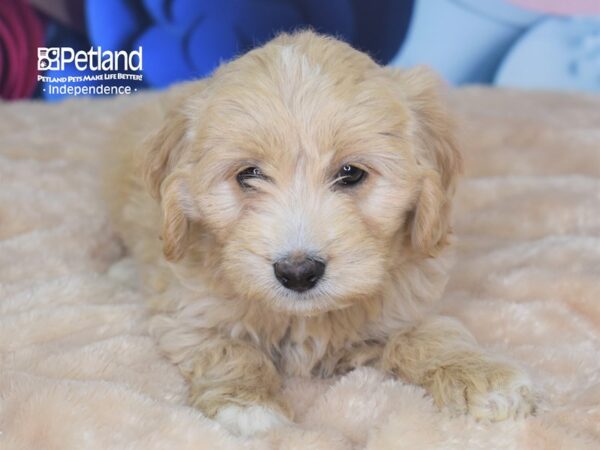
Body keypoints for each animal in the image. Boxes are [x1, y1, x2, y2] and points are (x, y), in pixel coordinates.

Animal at [102, 29, 536, 434]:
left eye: (351, 173)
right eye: (249, 174)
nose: (298, 273)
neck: (305, 318)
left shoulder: (405, 304)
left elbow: (429, 334)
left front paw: (483, 377)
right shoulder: (189, 313)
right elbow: (226, 348)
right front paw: (247, 405)